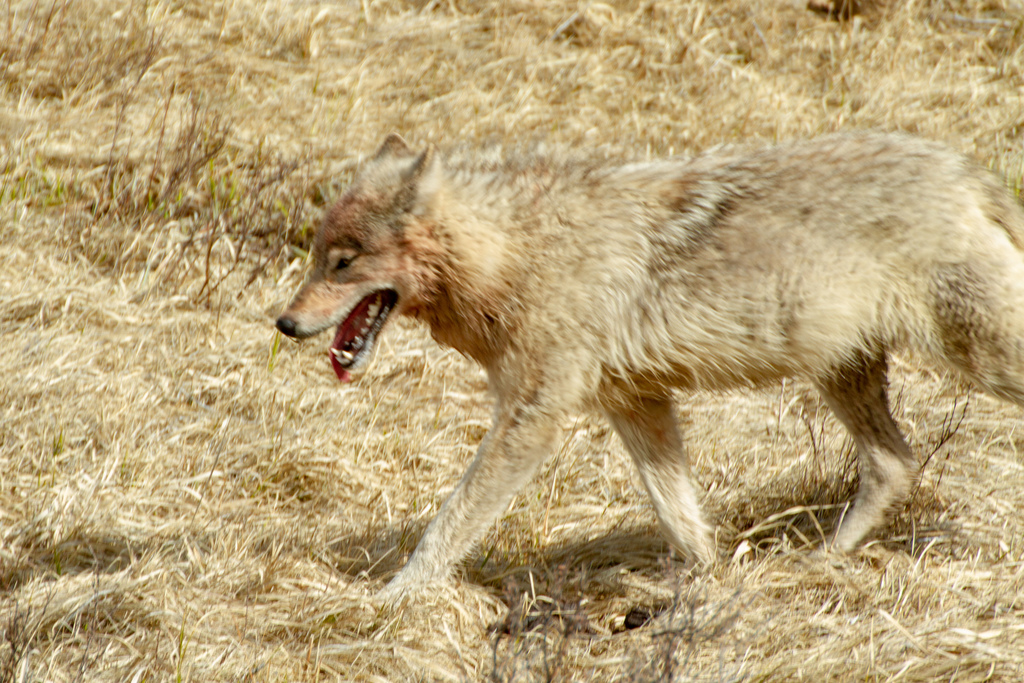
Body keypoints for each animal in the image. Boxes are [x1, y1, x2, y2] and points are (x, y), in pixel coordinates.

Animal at [276, 131, 1024, 599]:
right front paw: (712, 583)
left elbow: (449, 522)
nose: (284, 323)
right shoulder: (636, 404)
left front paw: (394, 598)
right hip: (844, 372)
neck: (516, 252)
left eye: (342, 263)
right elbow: (681, 517)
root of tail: (963, 169)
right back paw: (820, 561)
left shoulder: (533, 419)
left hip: (962, 358)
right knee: (896, 462)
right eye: (315, 257)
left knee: (899, 457)